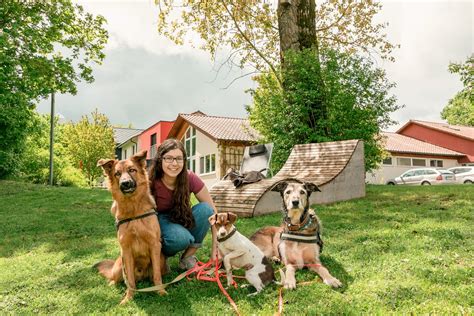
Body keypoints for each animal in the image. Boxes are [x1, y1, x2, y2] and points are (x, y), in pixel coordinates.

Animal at [94, 151, 167, 304]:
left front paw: (161, 291)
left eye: (132, 170)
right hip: (119, 265)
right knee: (118, 278)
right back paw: (112, 283)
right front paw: (128, 298)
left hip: (162, 259)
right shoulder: (125, 250)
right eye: (117, 173)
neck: (133, 210)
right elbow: (130, 281)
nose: (125, 183)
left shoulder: (154, 245)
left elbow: (157, 275)